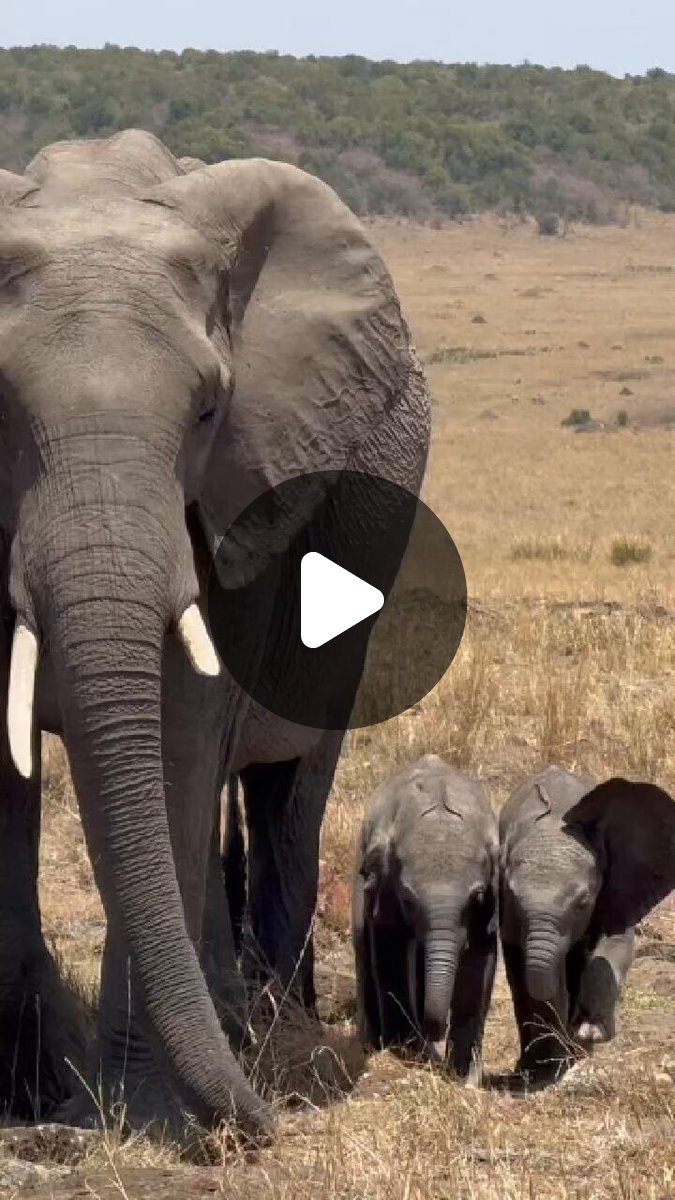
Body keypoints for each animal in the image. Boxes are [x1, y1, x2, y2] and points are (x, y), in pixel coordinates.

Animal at [0, 130, 430, 1136]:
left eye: (205, 411)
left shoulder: (247, 484)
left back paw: (267, 1023)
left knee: (283, 788)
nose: (263, 1126)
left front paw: (137, 1108)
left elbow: (185, 729)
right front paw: (33, 1091)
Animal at [352, 755, 498, 1081]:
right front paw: (403, 1052)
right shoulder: (385, 885)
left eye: (477, 898)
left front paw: (463, 1076)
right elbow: (389, 949)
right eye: (408, 900)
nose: (434, 1032)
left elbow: (479, 959)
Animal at [499, 765, 675, 1081]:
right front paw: (550, 1066)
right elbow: (526, 971)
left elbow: (613, 945)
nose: (574, 1028)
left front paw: (590, 1032)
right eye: (513, 897)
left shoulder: (618, 884)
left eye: (583, 902)